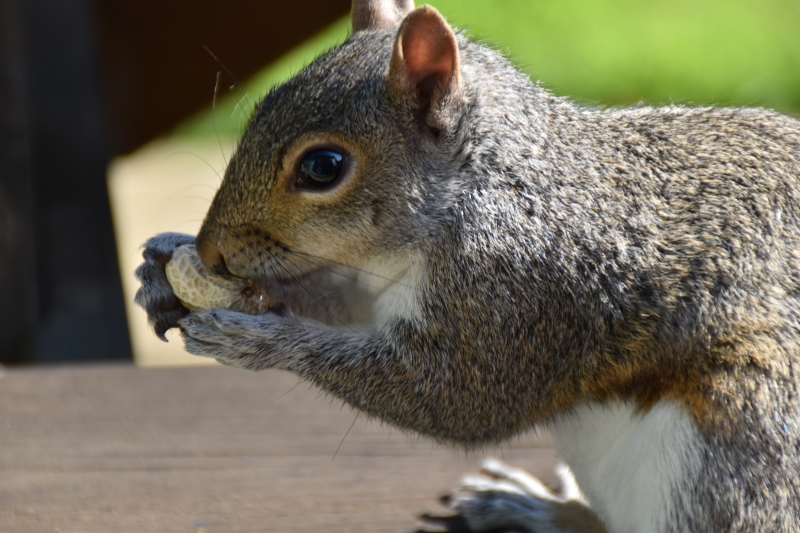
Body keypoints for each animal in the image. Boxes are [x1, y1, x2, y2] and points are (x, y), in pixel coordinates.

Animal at [136, 2, 800, 528]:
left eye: (322, 167)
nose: (211, 251)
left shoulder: (526, 292)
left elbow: (452, 398)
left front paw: (257, 340)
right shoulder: (379, 284)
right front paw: (163, 271)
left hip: (736, 451)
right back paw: (538, 507)